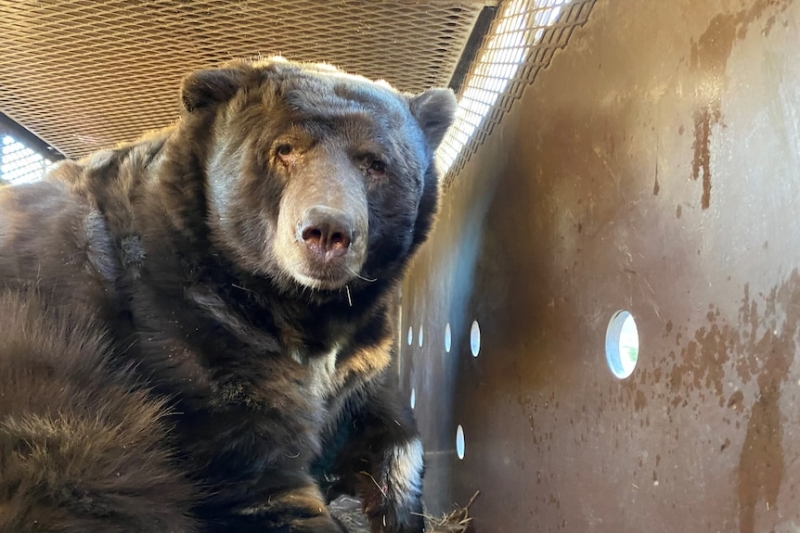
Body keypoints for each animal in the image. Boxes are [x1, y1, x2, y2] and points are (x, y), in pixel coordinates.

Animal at [0, 58, 456, 532]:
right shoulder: (193, 334)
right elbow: (258, 474)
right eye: (284, 149)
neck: (299, 308)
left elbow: (390, 421)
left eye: (375, 163)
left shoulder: (361, 356)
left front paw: (395, 507)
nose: (328, 231)